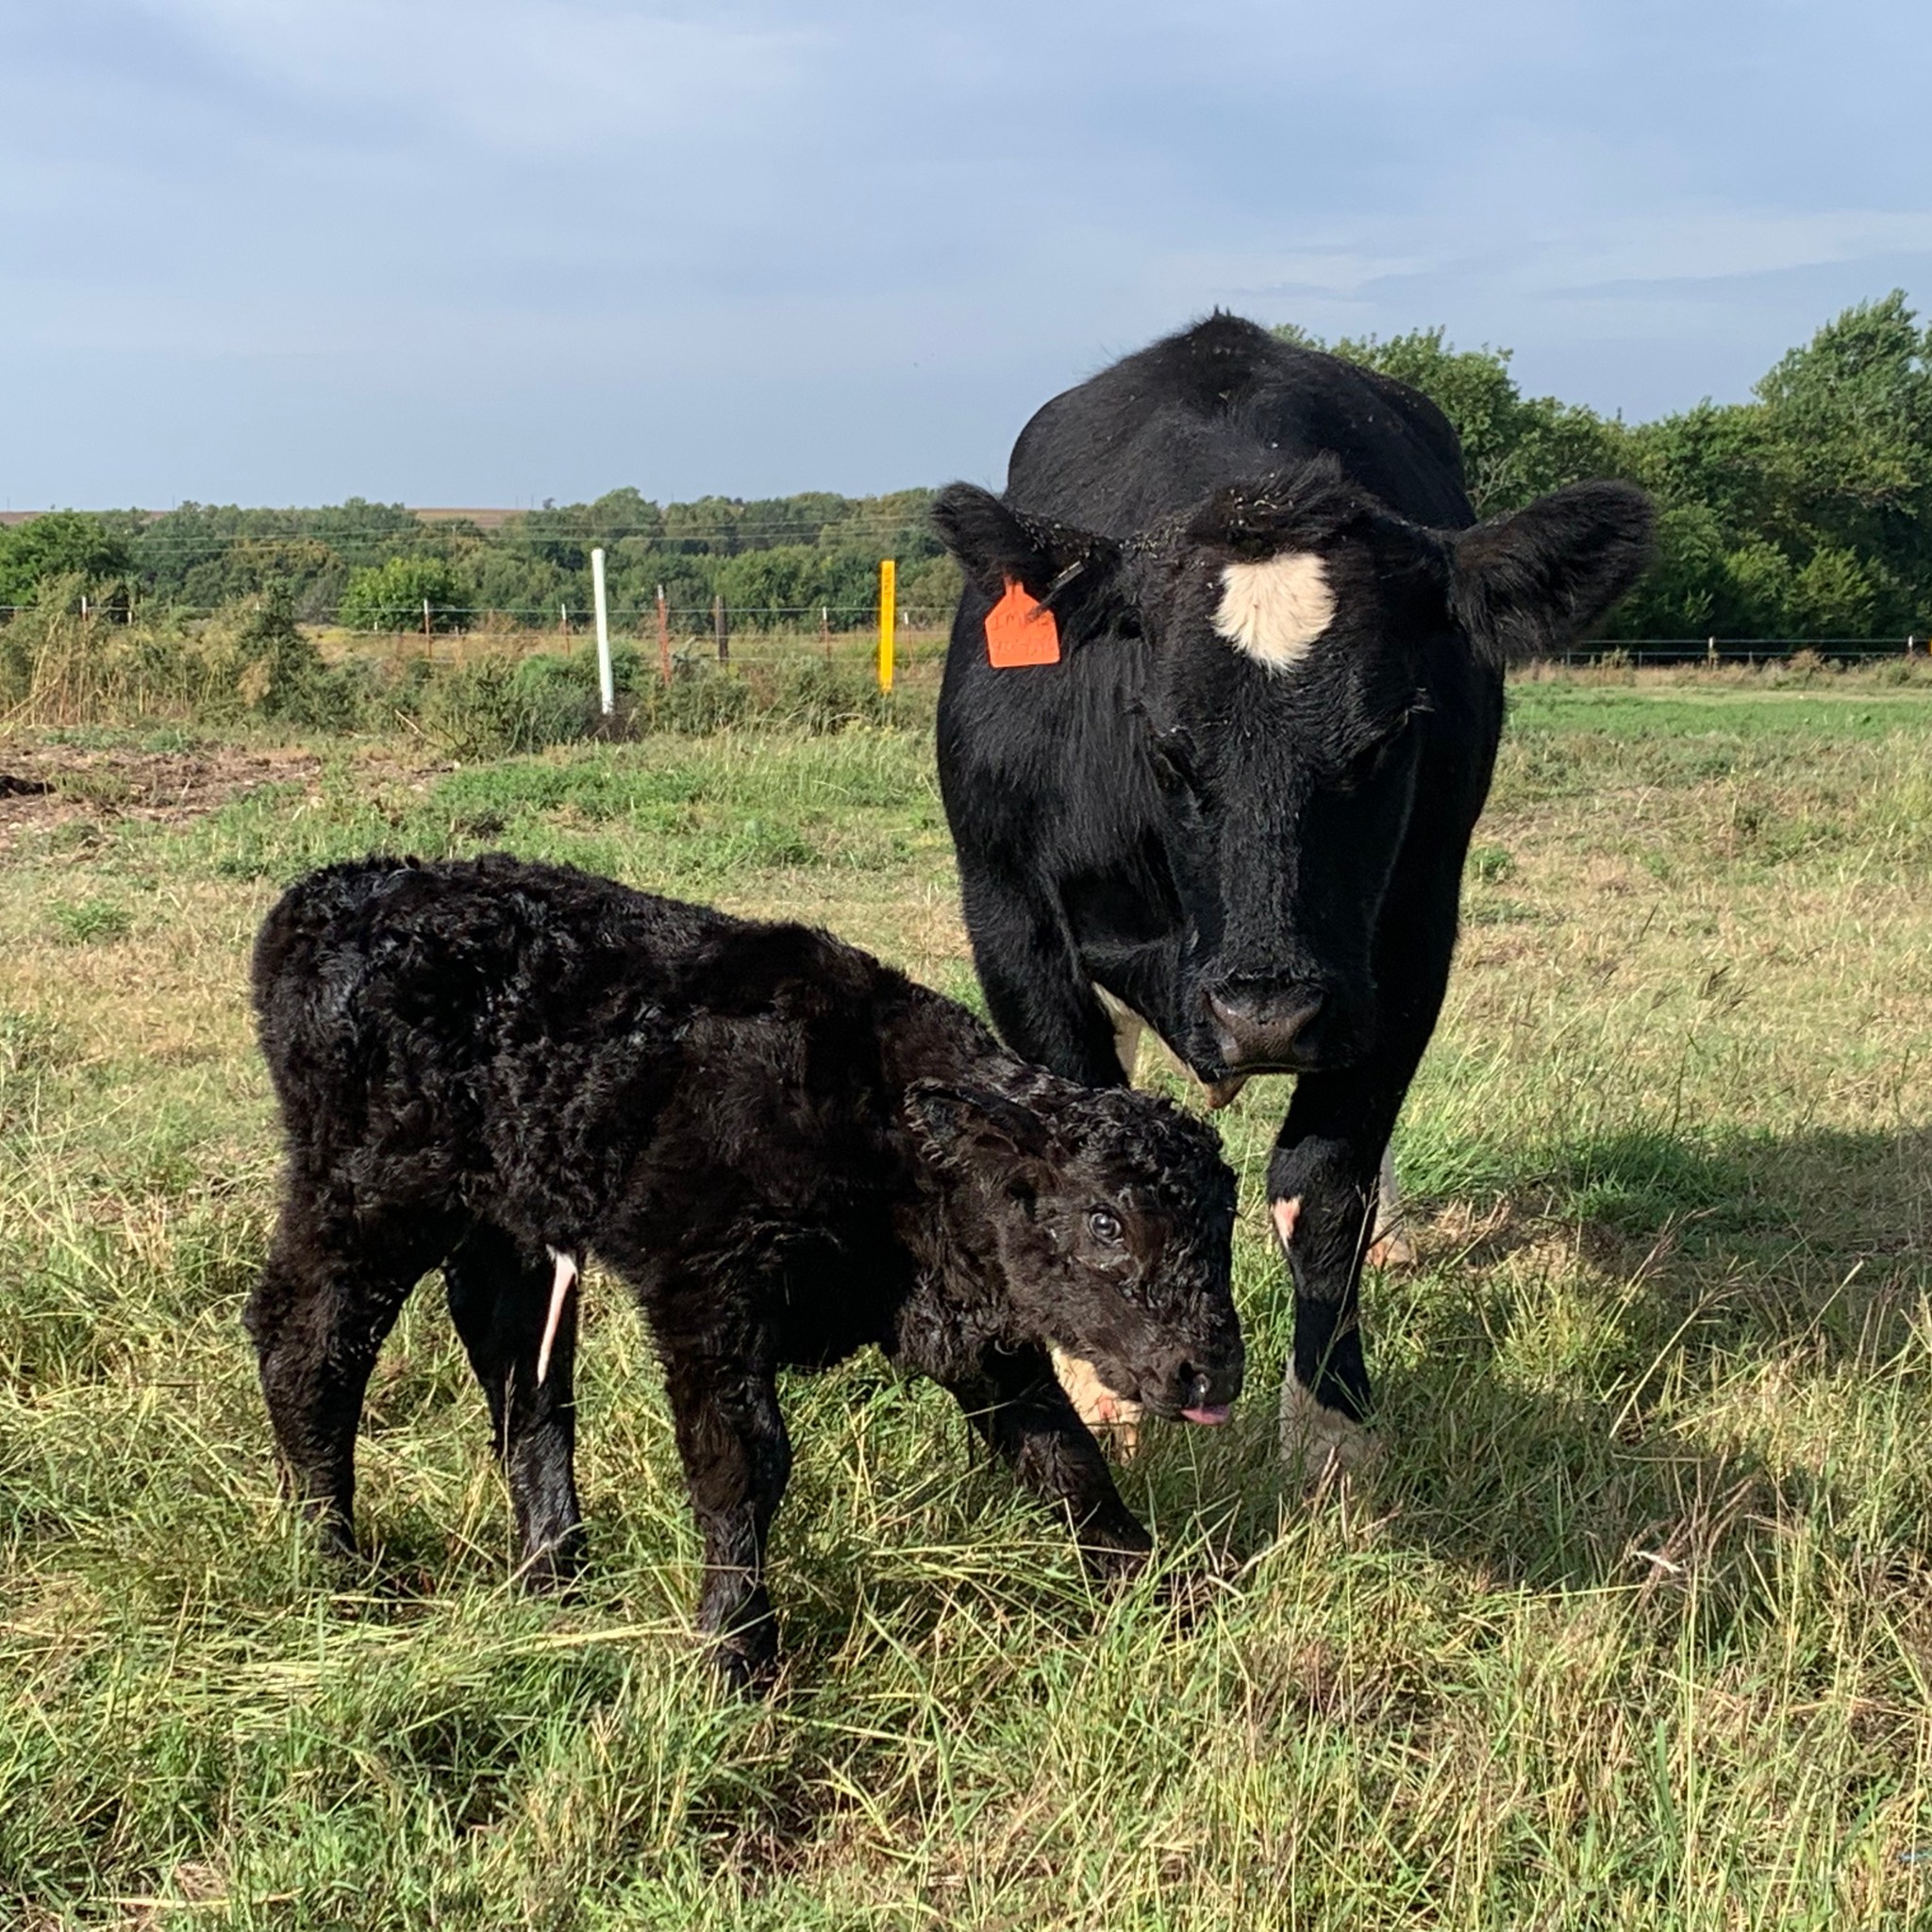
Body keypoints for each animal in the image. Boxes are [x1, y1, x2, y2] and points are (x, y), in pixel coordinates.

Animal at [245, 855, 1242, 1685]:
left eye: (1225, 1222)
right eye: (1106, 1220)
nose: (1212, 1368)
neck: (880, 1124)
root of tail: (337, 890)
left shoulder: (970, 1330)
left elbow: (1062, 1454)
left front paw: (1159, 1591)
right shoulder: (705, 1288)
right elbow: (742, 1460)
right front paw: (735, 1653)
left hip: (509, 1220)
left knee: (520, 1367)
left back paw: (553, 1574)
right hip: (371, 1193)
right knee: (308, 1342)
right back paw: (337, 1565)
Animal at [931, 313, 1652, 1469]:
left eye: (1386, 739)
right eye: (1163, 743)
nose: (1263, 1013)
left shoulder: (1405, 942)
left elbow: (1324, 1185)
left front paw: (1332, 1432)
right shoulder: (1009, 916)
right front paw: (1102, 1403)